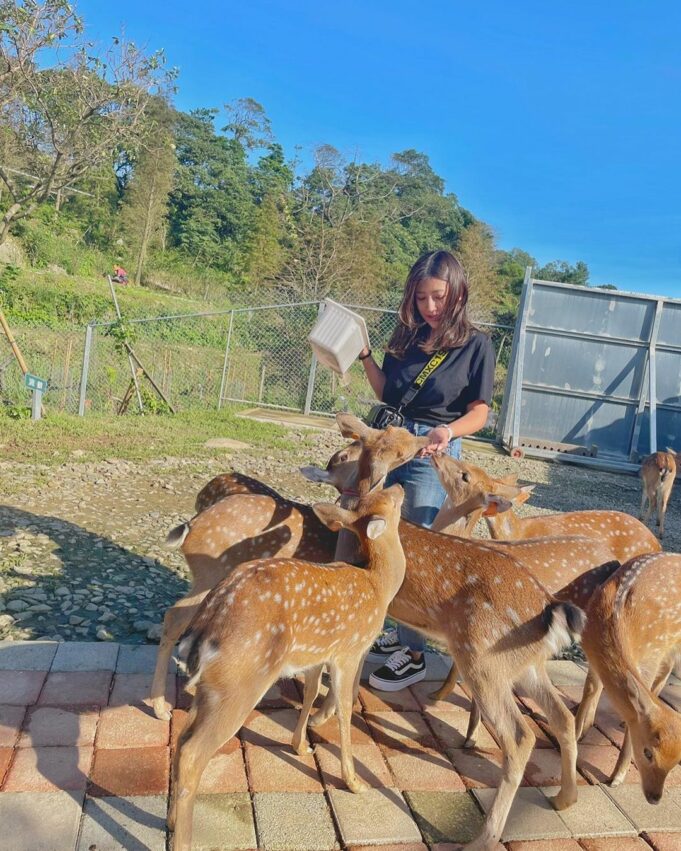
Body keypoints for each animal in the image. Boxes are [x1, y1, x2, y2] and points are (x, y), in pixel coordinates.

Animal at [167, 486, 406, 851]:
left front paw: (300, 745)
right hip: (240, 684)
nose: (400, 487)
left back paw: (170, 820)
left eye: (378, 495)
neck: (377, 583)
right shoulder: (349, 651)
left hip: (211, 688)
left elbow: (310, 692)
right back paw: (184, 839)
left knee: (181, 741)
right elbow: (345, 708)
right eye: (388, 501)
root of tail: (207, 626)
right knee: (193, 752)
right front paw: (354, 782)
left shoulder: (315, 654)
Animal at [572, 552, 680, 800]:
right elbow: (590, 689)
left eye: (676, 762)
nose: (654, 798)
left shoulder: (649, 659)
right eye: (648, 753)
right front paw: (576, 734)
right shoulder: (590, 653)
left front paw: (616, 778)